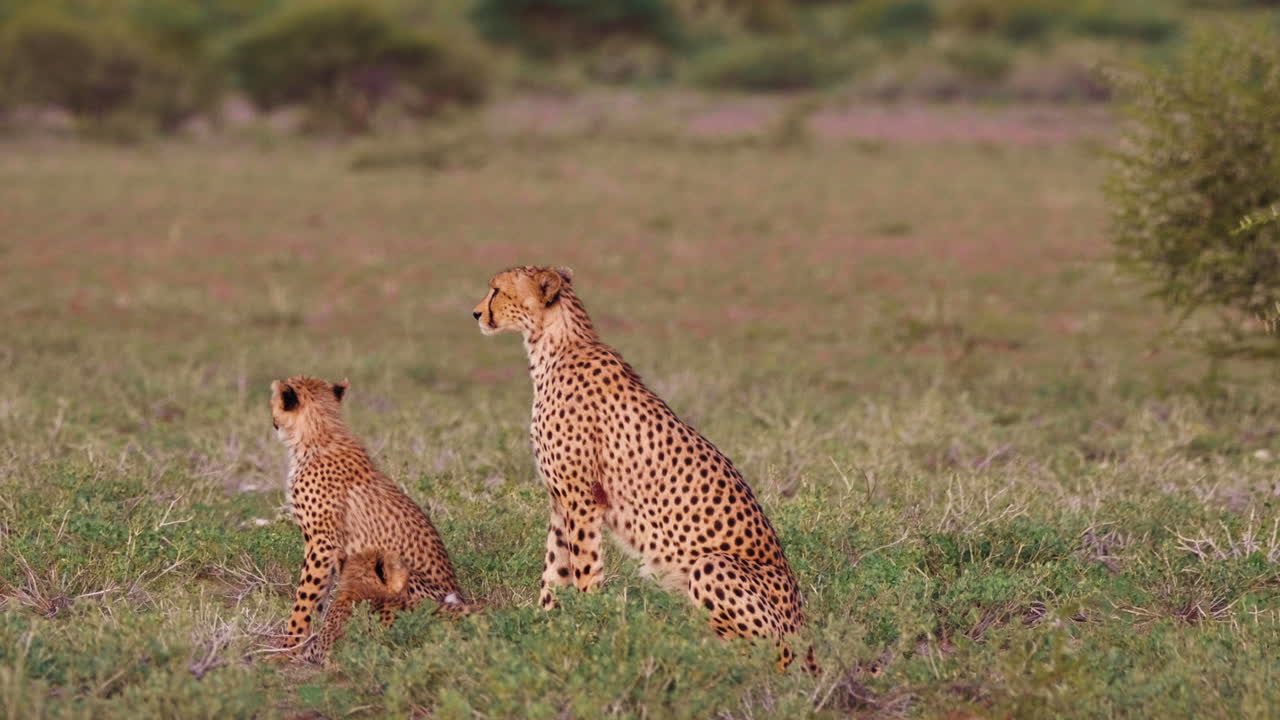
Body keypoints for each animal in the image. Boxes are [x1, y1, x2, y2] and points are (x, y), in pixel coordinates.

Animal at [270, 375, 465, 656]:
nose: (273, 421)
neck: (317, 435)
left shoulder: (322, 542)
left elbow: (305, 594)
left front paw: (290, 644)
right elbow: (320, 593)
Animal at [472, 266, 816, 672]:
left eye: (496, 290)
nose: (476, 314)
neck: (554, 345)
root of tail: (807, 636)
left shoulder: (582, 501)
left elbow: (584, 570)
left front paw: (588, 627)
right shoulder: (561, 501)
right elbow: (554, 570)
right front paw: (544, 629)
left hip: (712, 566)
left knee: (766, 657)